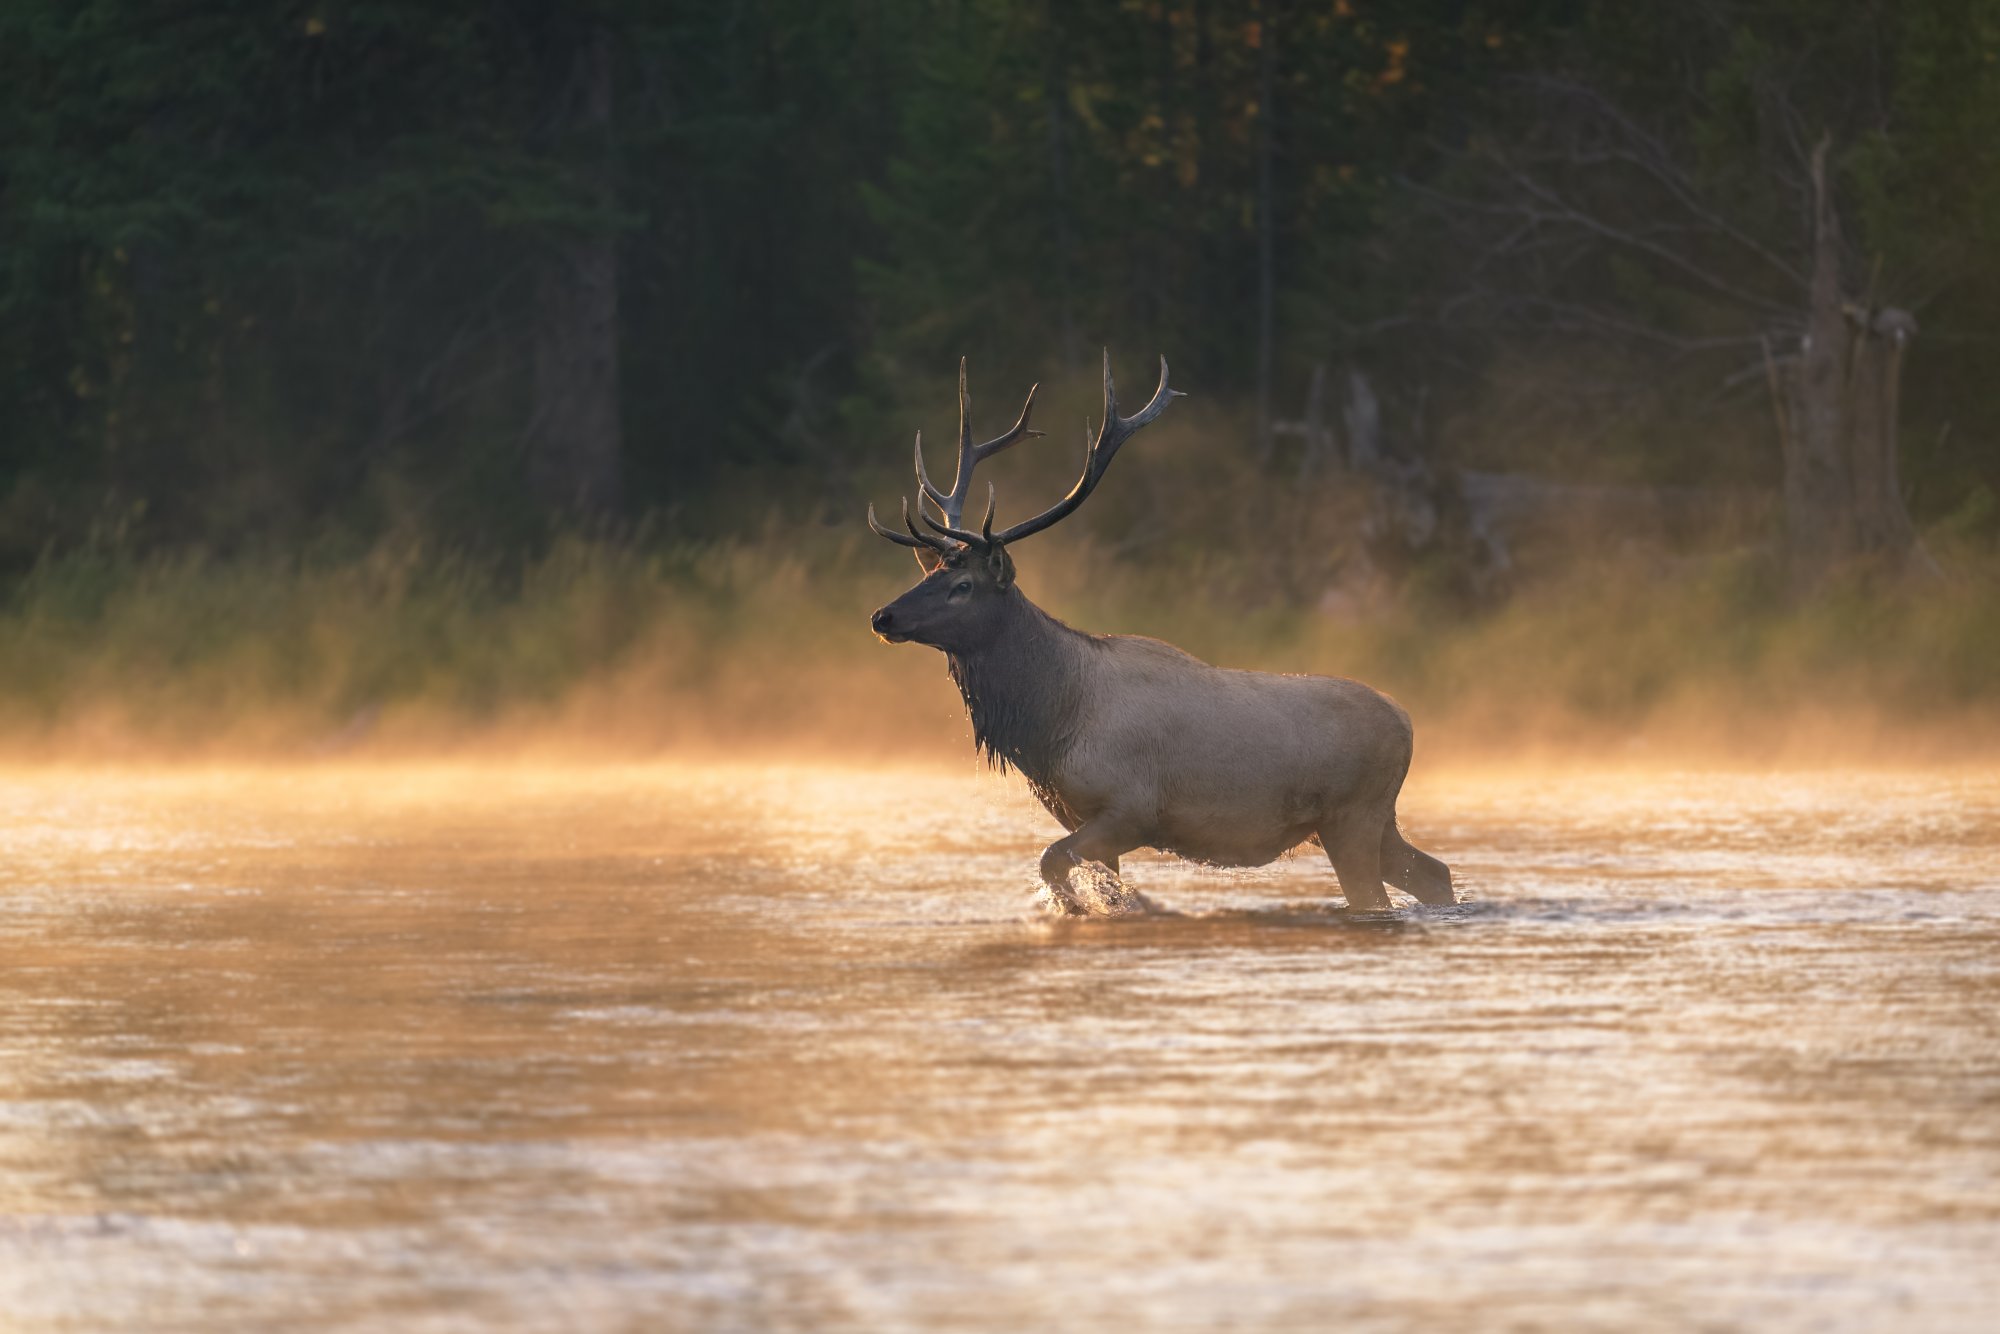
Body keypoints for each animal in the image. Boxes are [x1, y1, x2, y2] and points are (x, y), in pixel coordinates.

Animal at [860, 354, 1456, 912]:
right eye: (929, 574)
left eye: (962, 585)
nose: (882, 617)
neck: (1051, 722)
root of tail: (1407, 722)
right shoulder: (1079, 815)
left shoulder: (1132, 809)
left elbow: (1054, 865)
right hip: (1372, 822)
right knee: (1434, 872)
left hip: (1351, 816)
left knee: (1379, 895)